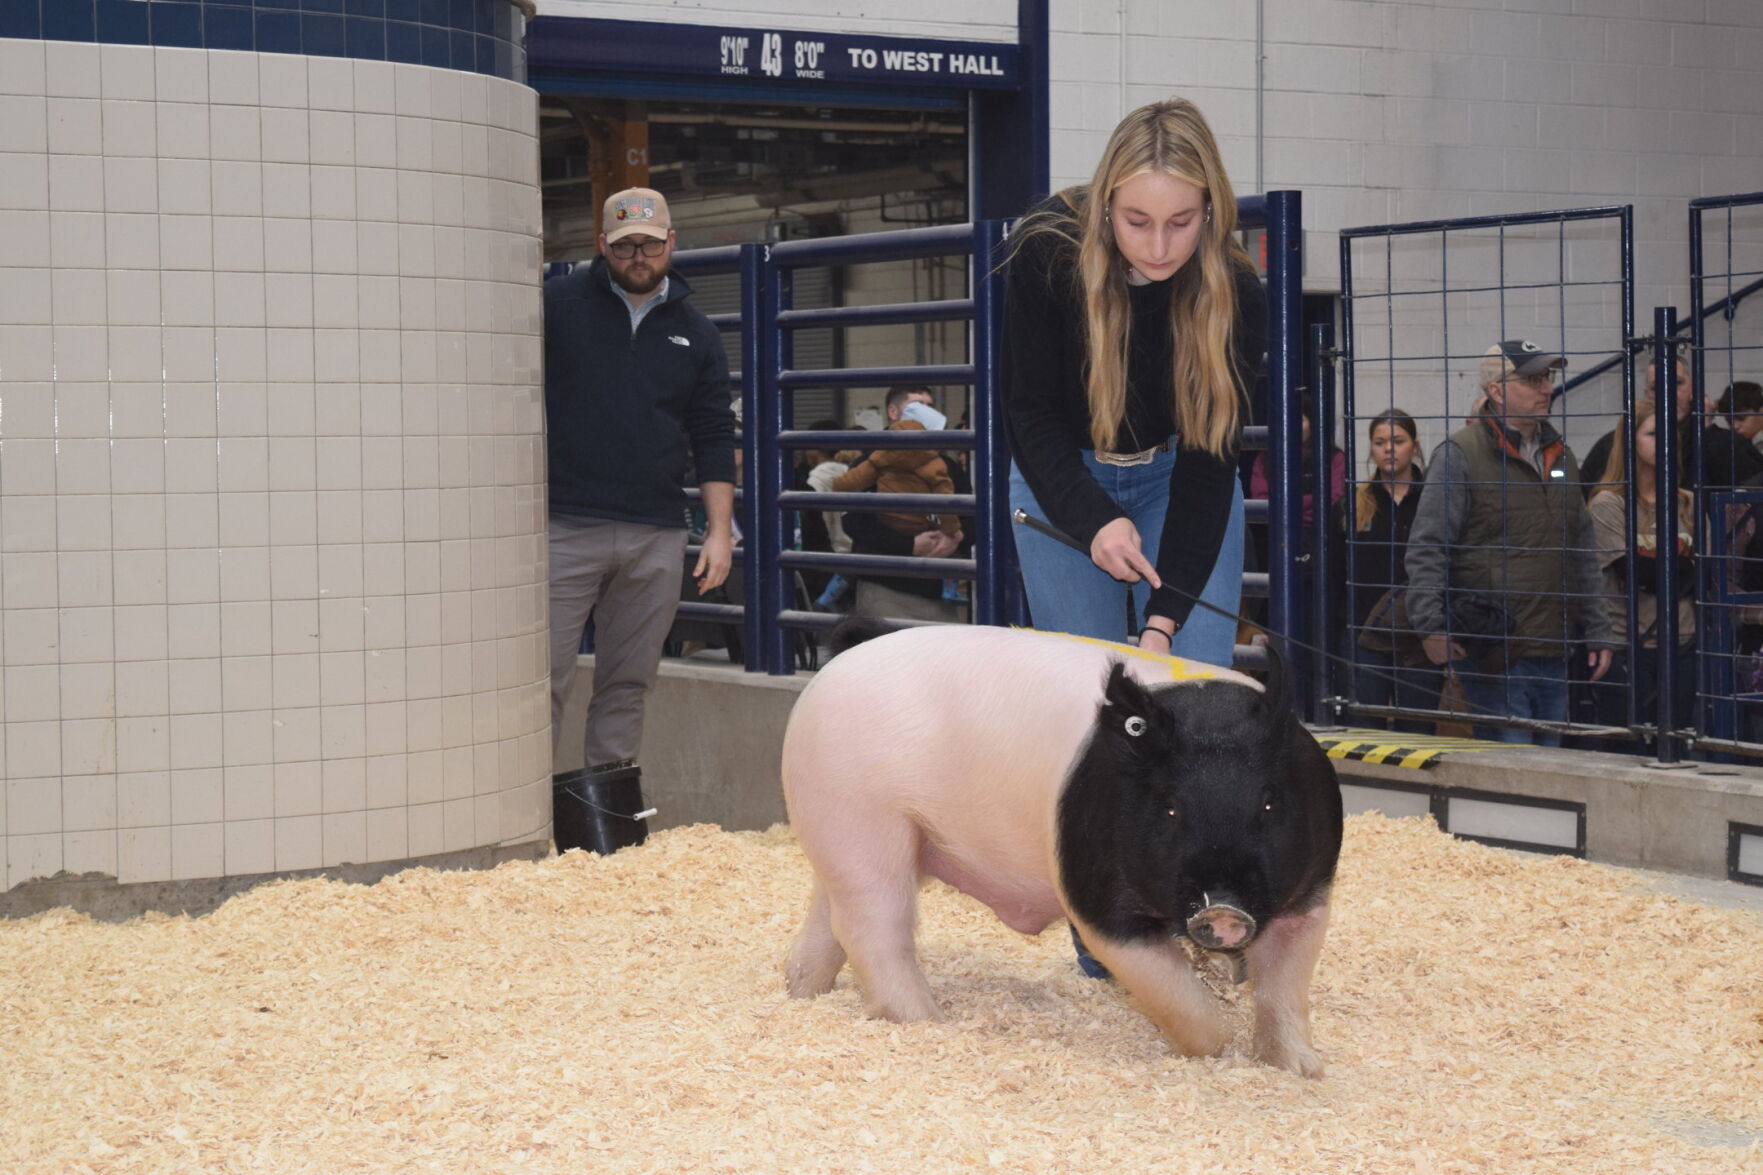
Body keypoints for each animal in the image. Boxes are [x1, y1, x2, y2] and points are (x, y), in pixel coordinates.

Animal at [779, 628, 1339, 1072]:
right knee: (874, 925)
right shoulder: (1093, 893)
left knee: (830, 913)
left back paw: (801, 991)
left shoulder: (1310, 892)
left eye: (1269, 802)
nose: (1223, 911)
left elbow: (1284, 987)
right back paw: (926, 1020)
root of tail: (829, 674)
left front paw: (1302, 1069)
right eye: (1170, 807)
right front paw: (1210, 1047)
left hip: (850, 833)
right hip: (862, 816)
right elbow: (1170, 988)